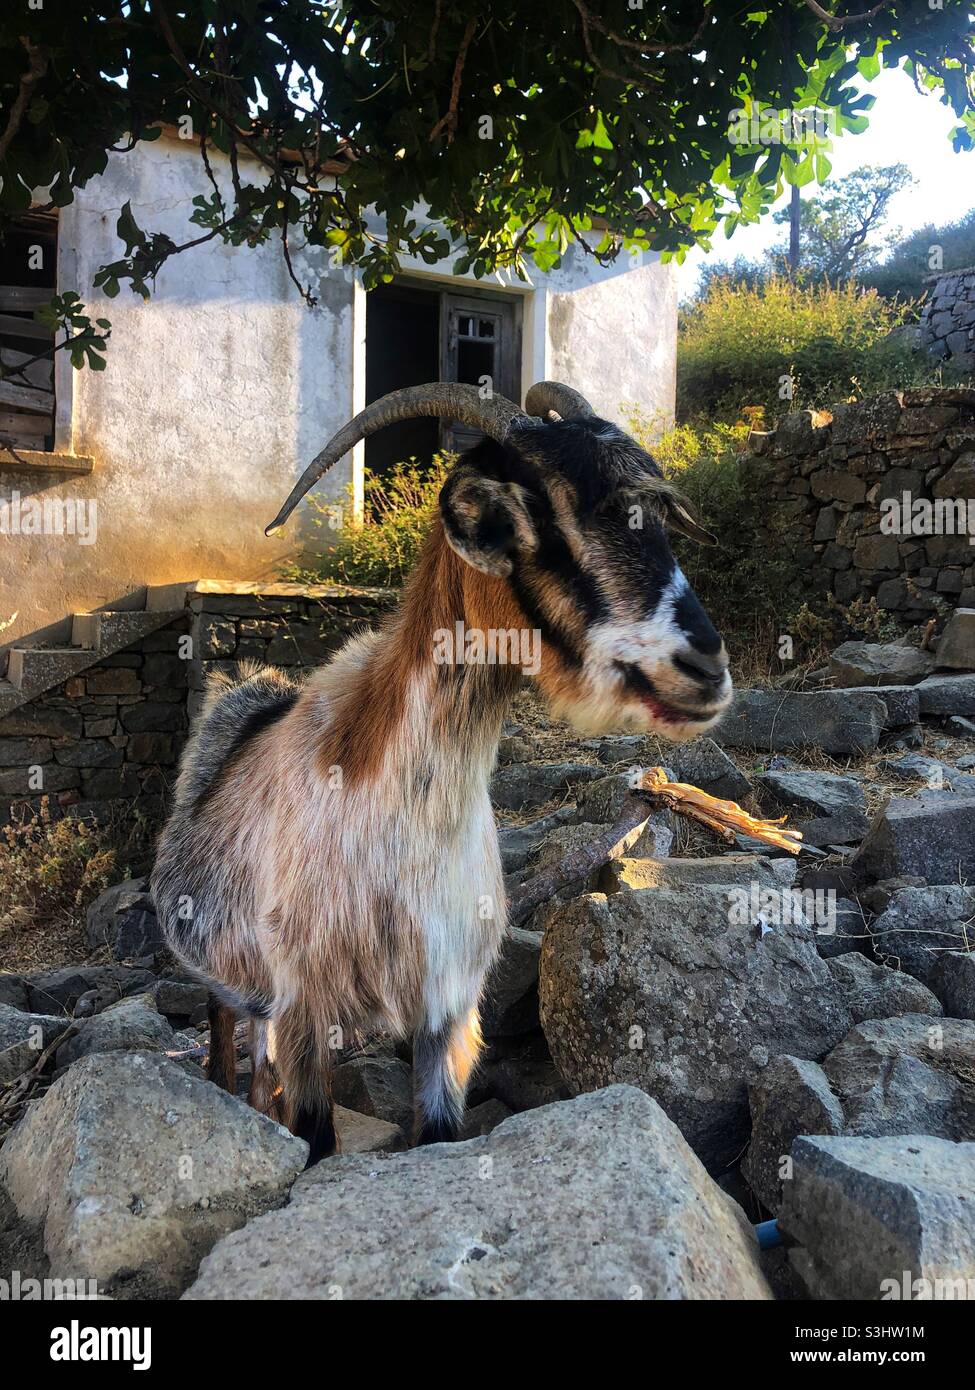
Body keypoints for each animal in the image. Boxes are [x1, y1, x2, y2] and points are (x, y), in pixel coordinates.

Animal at [150, 380, 728, 1162]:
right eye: (533, 519)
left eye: (662, 519)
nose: (704, 669)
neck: (404, 815)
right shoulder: (306, 1006)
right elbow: (316, 1138)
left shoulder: (447, 1013)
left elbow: (438, 1132)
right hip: (226, 978)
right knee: (223, 1046)